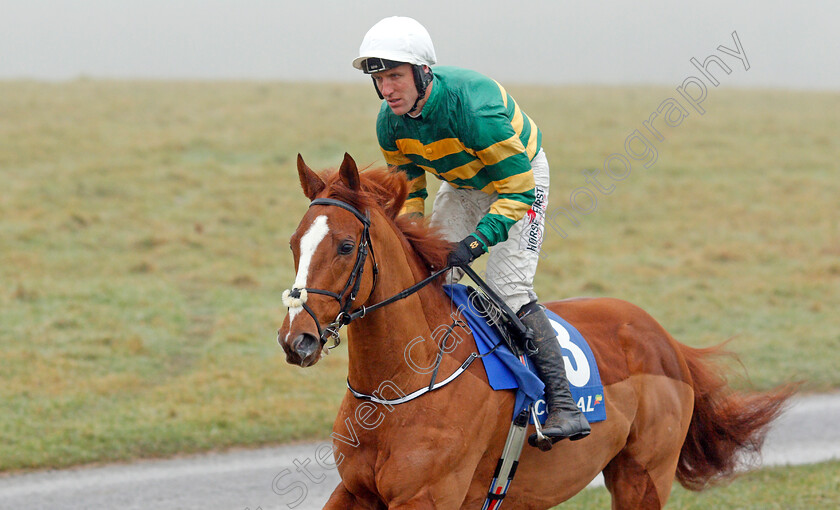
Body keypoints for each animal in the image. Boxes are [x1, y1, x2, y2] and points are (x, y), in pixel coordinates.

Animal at [280, 154, 796, 510]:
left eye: (346, 246)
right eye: (293, 243)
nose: (296, 339)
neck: (401, 384)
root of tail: (665, 340)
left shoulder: (427, 497)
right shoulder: (355, 489)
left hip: (644, 477)